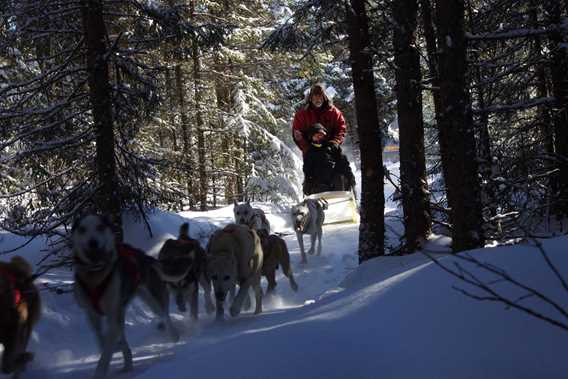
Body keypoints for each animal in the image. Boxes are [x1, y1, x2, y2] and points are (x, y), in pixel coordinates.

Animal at [71, 215, 179, 378]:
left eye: (100, 227)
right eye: (82, 229)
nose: (92, 242)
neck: (94, 275)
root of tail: (146, 257)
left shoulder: (112, 314)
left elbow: (105, 352)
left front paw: (100, 371)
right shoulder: (92, 315)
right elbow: (101, 338)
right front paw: (116, 347)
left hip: (154, 301)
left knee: (166, 316)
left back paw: (174, 339)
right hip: (122, 309)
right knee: (122, 335)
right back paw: (127, 364)